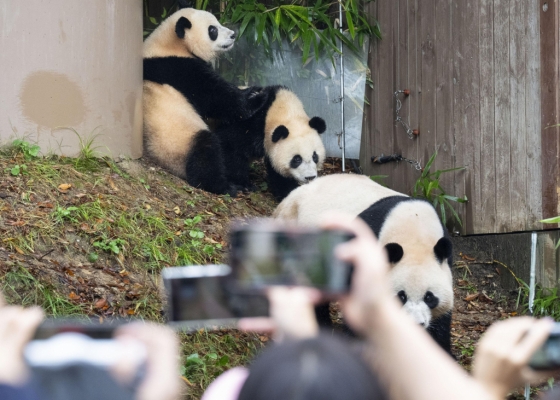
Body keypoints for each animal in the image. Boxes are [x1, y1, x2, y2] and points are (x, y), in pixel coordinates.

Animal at [143, 2, 268, 196]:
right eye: (212, 30)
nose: (233, 35)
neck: (171, 44)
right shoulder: (180, 68)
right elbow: (218, 98)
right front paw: (256, 97)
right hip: (178, 141)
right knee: (206, 152)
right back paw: (226, 186)